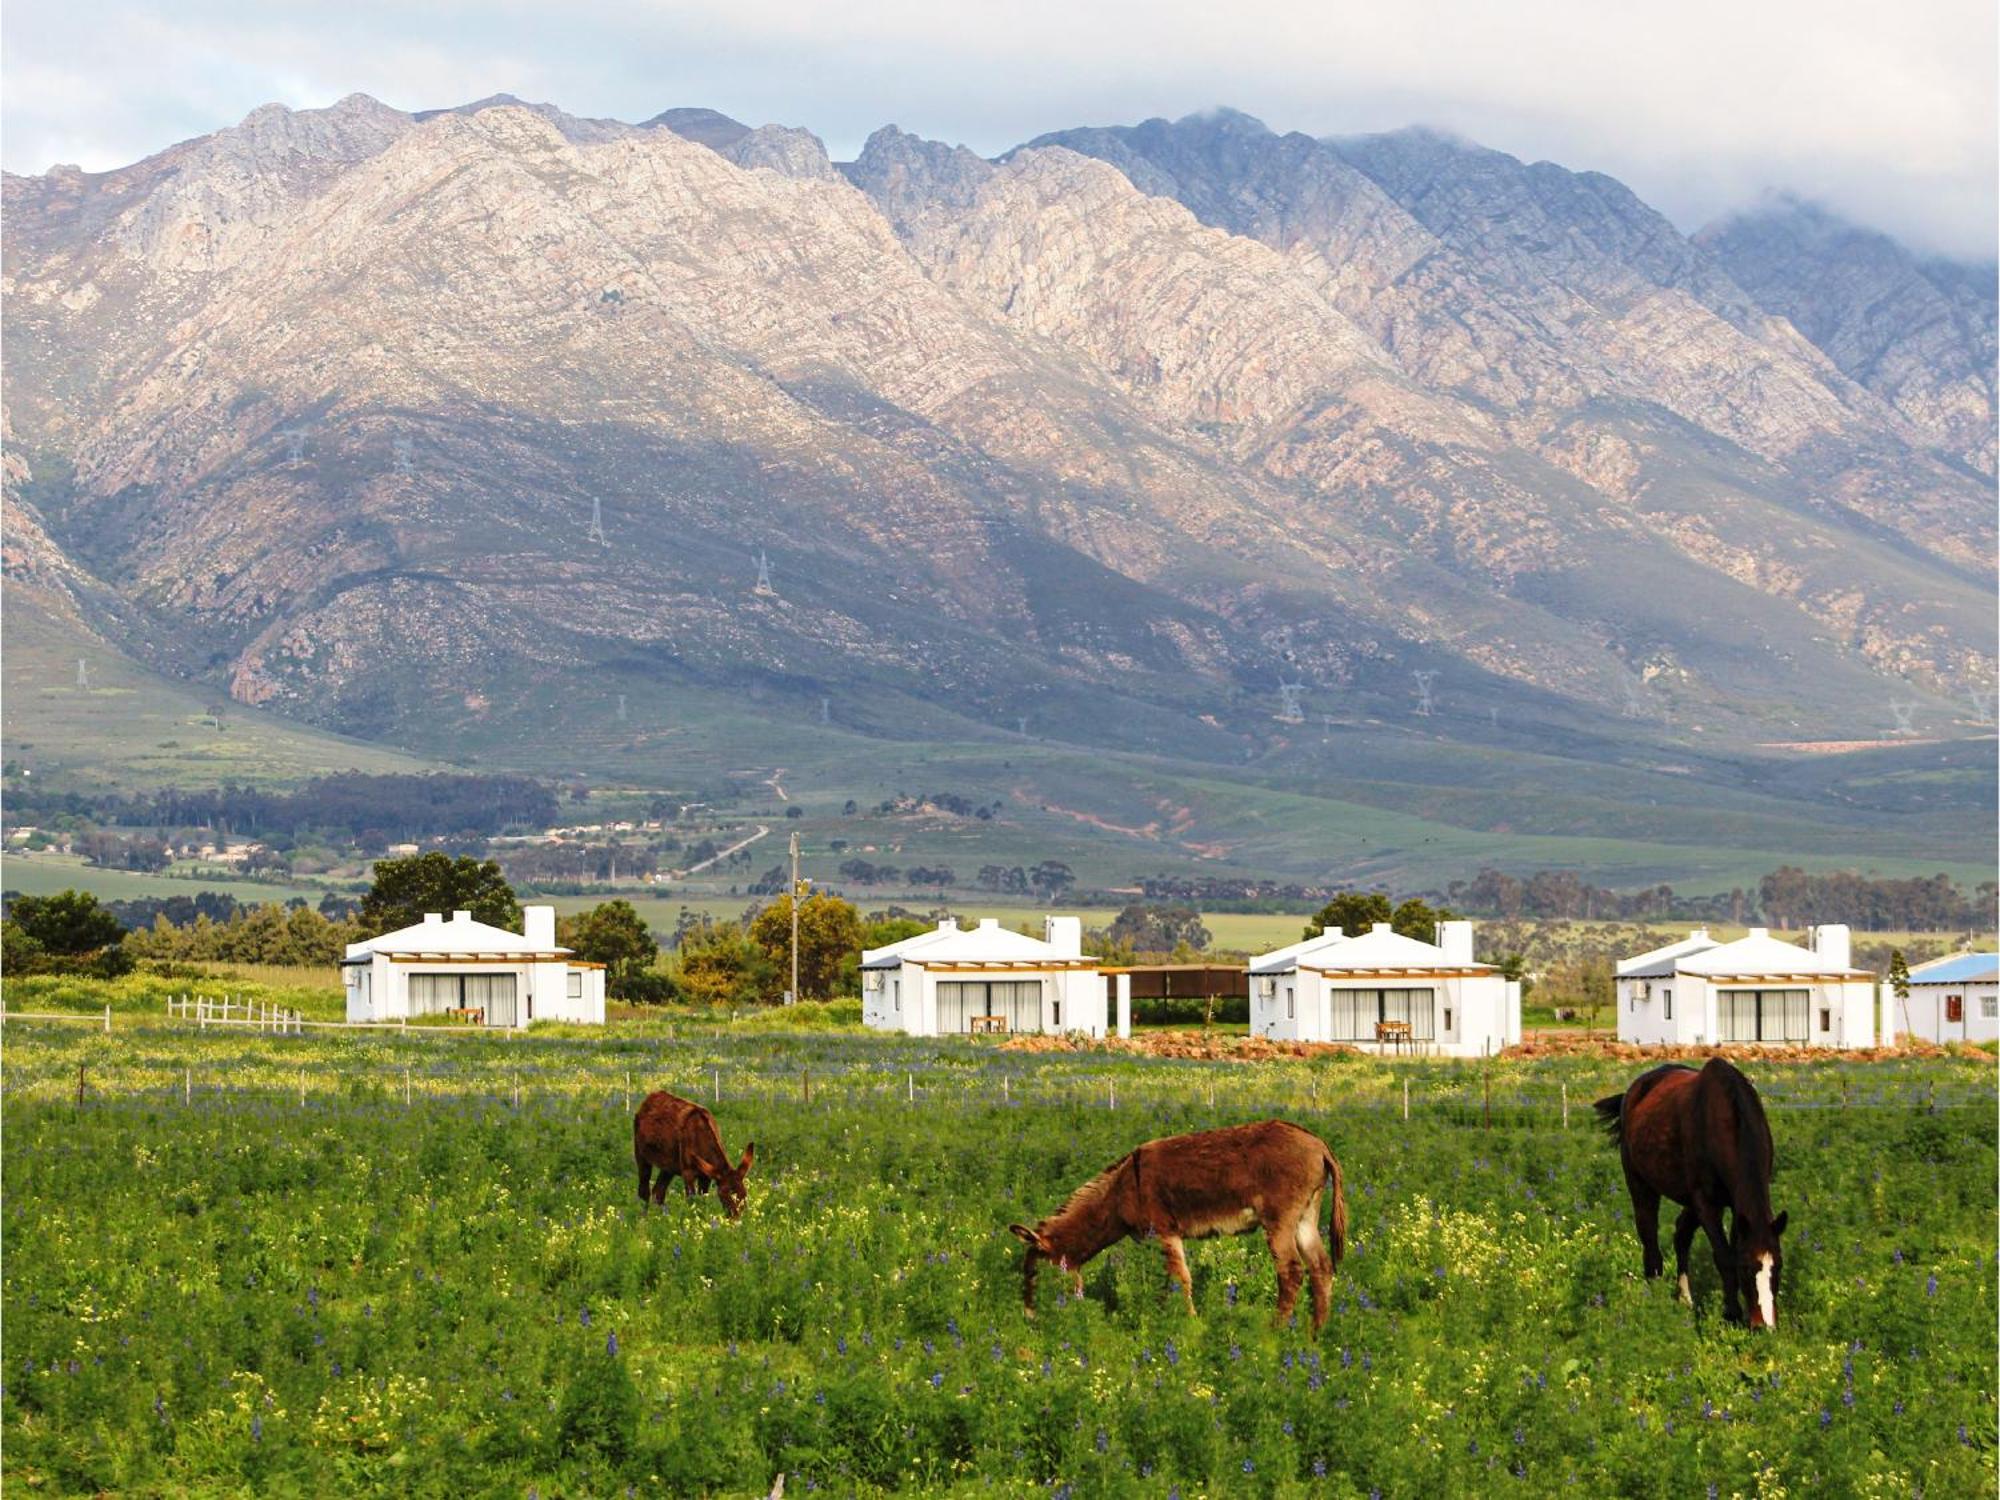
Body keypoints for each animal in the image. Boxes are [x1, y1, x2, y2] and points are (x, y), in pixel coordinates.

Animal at [632, 1096, 756, 1224]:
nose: (737, 1221)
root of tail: (647, 1100)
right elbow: (692, 1201)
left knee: (658, 1192)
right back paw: (644, 1220)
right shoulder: (687, 1172)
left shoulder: (706, 1175)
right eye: (724, 1195)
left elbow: (703, 1200)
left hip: (669, 1167)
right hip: (641, 1154)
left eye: (745, 1194)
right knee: (644, 1191)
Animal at [1008, 1120, 1352, 1336]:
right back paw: (1316, 1332)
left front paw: (1188, 1325)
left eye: (1033, 1272)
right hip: (1305, 1217)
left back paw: (1275, 1330)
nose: (1028, 1318)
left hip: (1280, 1219)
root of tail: (1319, 1145)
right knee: (1321, 1267)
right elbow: (1170, 1281)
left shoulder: (1164, 1231)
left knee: (1291, 1271)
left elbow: (1180, 1279)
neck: (1120, 1192)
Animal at [1592, 1064, 1800, 1336]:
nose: (1765, 1326)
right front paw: (1731, 1315)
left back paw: (1685, 1298)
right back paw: (1656, 1297)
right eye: (1746, 1268)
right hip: (1642, 1187)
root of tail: (1634, 1091)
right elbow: (1724, 1257)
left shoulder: (1733, 1206)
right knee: (1650, 1243)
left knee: (1681, 1235)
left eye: (1779, 1266)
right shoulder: (1707, 1204)